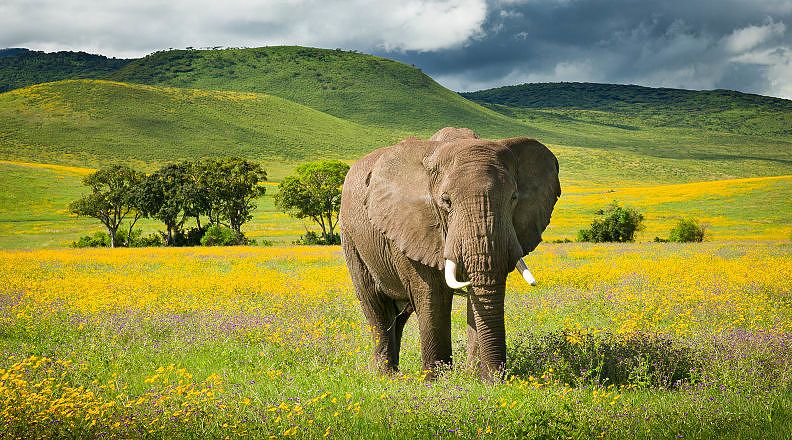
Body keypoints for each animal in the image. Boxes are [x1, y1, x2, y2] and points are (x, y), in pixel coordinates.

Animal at [338, 127, 560, 382]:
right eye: (446, 201)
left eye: (514, 198)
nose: (497, 379)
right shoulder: (413, 226)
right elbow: (432, 295)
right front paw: (437, 380)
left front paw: (474, 377)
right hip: (351, 239)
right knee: (377, 308)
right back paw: (388, 376)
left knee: (399, 315)